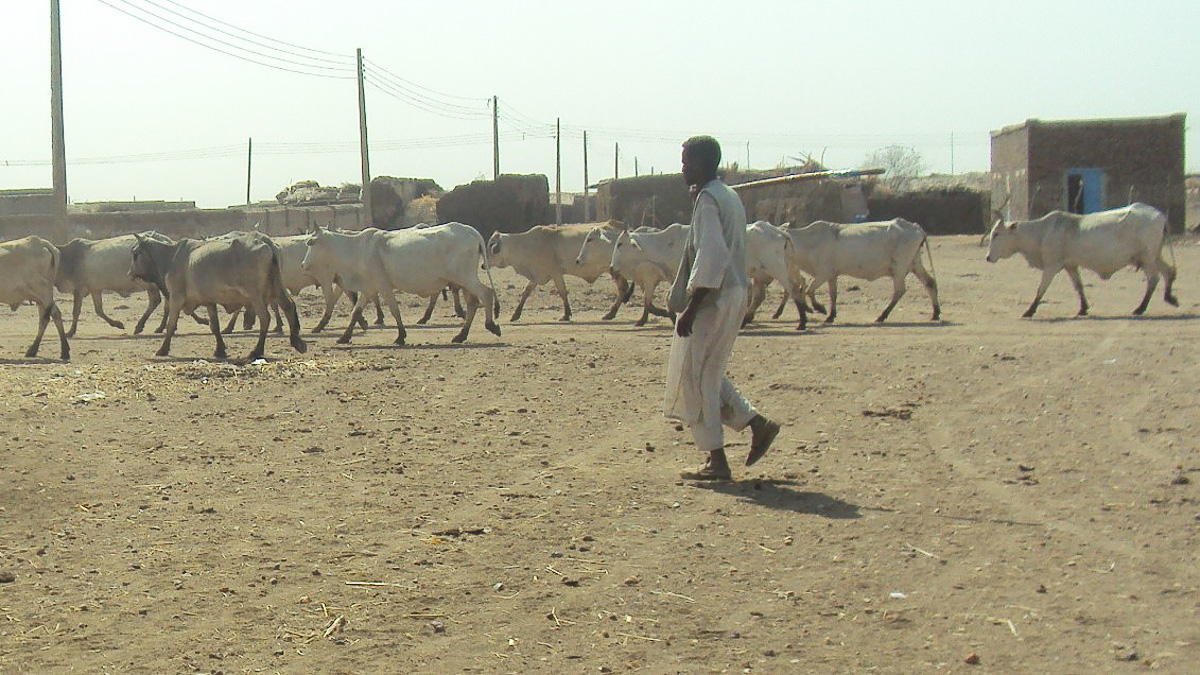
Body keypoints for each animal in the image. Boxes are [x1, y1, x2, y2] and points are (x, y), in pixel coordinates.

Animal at [307, 223, 504, 343]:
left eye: (310, 243)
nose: (303, 263)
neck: (356, 248)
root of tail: (471, 231)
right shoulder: (369, 287)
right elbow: (356, 312)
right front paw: (345, 337)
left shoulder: (383, 285)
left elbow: (394, 309)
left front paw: (401, 336)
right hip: (463, 281)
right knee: (473, 303)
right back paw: (461, 335)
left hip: (465, 277)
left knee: (486, 293)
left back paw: (490, 325)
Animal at [487, 220, 638, 319]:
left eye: (491, 246)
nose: (483, 265)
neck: (527, 244)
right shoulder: (537, 275)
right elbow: (526, 292)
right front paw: (515, 315)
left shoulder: (555, 273)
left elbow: (562, 292)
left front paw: (566, 314)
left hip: (615, 270)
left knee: (623, 289)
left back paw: (610, 313)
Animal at [782, 216, 940, 329]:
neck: (809, 241)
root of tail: (915, 227)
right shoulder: (832, 275)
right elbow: (833, 294)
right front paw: (830, 316)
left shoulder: (823, 273)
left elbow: (809, 290)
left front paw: (819, 308)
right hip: (915, 264)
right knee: (930, 282)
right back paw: (935, 313)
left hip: (899, 267)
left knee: (899, 290)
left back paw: (882, 316)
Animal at [984, 200, 1180, 317]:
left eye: (996, 234)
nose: (988, 257)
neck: (1042, 232)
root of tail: (1160, 215)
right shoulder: (1070, 266)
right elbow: (1079, 286)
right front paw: (1083, 308)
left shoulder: (1051, 265)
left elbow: (1041, 289)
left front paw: (1030, 311)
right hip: (1153, 256)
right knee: (1168, 272)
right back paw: (1170, 297)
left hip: (1147, 258)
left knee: (1153, 279)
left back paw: (1140, 308)